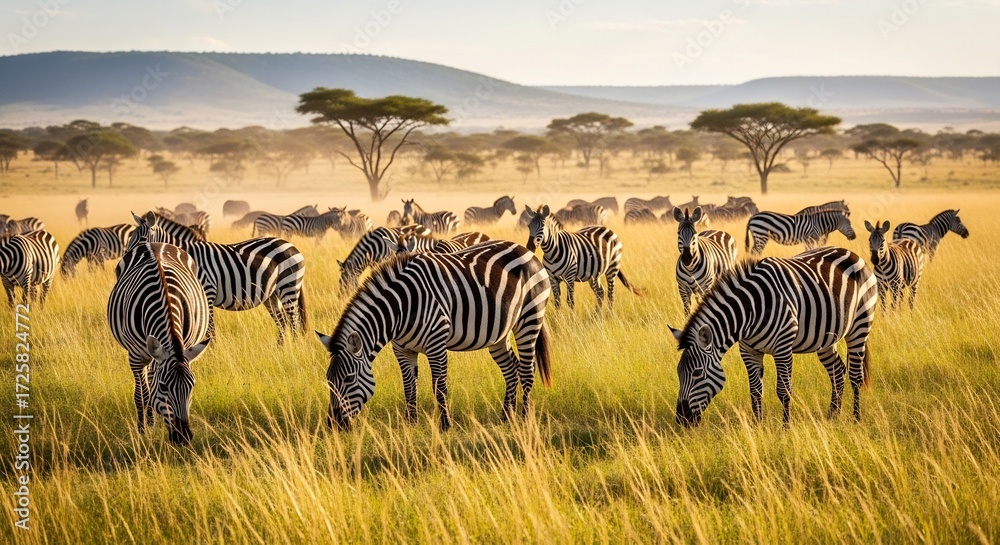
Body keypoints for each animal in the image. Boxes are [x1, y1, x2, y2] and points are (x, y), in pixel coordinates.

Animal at [107, 240, 211, 444]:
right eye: (164, 387)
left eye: (192, 385)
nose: (183, 437)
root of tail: (153, 242)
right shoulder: (135, 357)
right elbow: (142, 395)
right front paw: (142, 431)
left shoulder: (185, 347)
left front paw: (153, 424)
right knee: (145, 387)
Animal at [131, 211, 307, 344]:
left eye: (142, 240)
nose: (127, 259)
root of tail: (290, 245)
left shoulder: (207, 291)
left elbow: (209, 329)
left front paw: (212, 352)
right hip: (271, 294)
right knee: (282, 321)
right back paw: (280, 349)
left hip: (288, 286)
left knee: (293, 321)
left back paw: (294, 348)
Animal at [316, 240, 552, 430]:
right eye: (328, 379)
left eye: (349, 378)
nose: (334, 425)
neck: (402, 308)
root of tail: (526, 250)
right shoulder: (402, 349)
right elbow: (409, 389)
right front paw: (411, 425)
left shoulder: (436, 344)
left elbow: (439, 388)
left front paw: (445, 426)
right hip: (499, 334)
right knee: (511, 369)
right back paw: (506, 417)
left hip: (529, 317)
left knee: (526, 370)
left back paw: (524, 418)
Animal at [669, 246, 878, 426]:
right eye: (678, 372)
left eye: (697, 373)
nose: (682, 419)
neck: (751, 311)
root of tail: (851, 253)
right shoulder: (748, 351)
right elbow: (755, 391)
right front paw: (758, 426)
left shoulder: (783, 347)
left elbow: (783, 391)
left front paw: (786, 428)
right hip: (826, 339)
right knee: (837, 372)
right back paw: (833, 415)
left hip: (859, 326)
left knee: (855, 376)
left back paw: (856, 418)